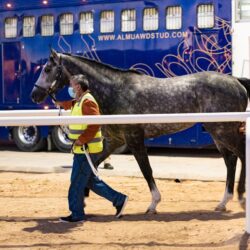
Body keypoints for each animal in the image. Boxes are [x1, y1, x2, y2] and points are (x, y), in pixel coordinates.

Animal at [30, 50, 250, 213]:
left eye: (47, 69)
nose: (34, 94)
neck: (116, 90)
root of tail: (237, 82)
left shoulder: (134, 139)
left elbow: (146, 170)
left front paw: (153, 203)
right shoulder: (115, 141)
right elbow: (94, 165)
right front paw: (84, 196)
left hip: (224, 131)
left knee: (241, 155)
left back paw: (240, 197)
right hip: (218, 132)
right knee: (230, 160)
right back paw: (224, 202)